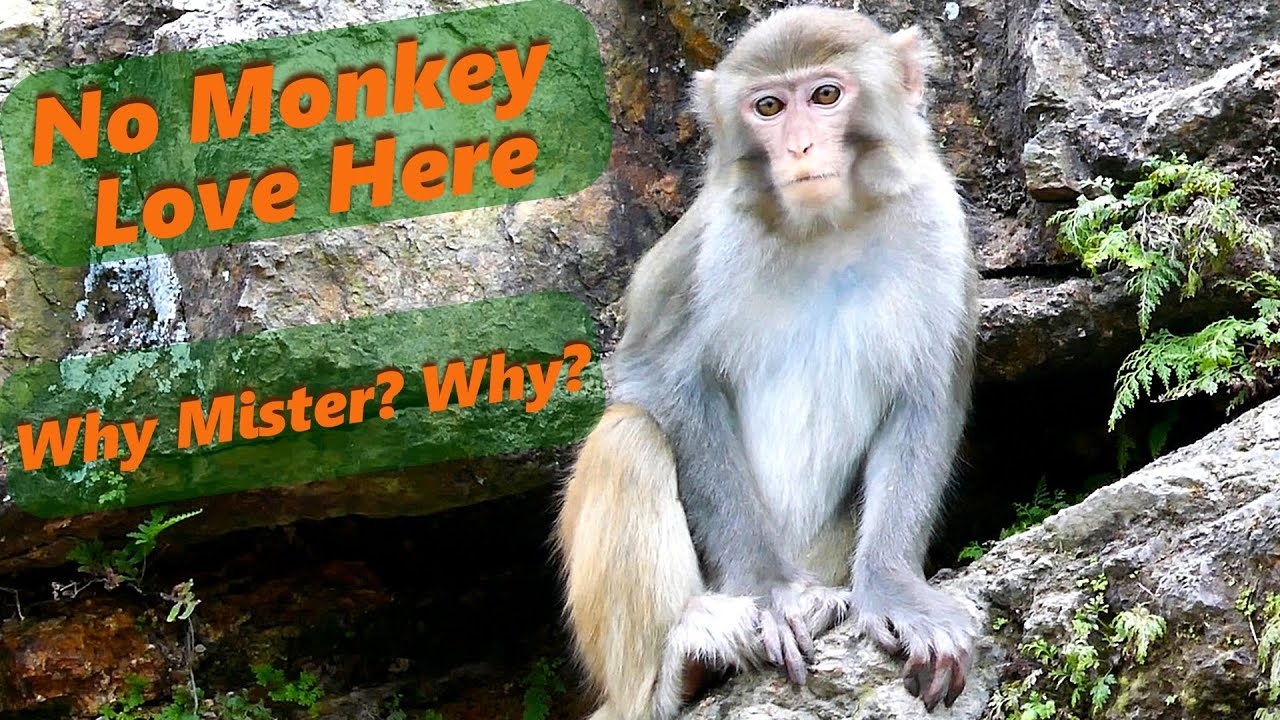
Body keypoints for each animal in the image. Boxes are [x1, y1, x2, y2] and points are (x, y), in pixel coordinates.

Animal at [555, 6, 980, 719]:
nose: (800, 148)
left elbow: (925, 397)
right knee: (630, 435)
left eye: (826, 95)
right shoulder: (707, 241)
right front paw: (771, 592)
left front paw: (895, 590)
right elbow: (657, 379)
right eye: (770, 107)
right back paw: (677, 668)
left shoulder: (941, 227)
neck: (826, 227)